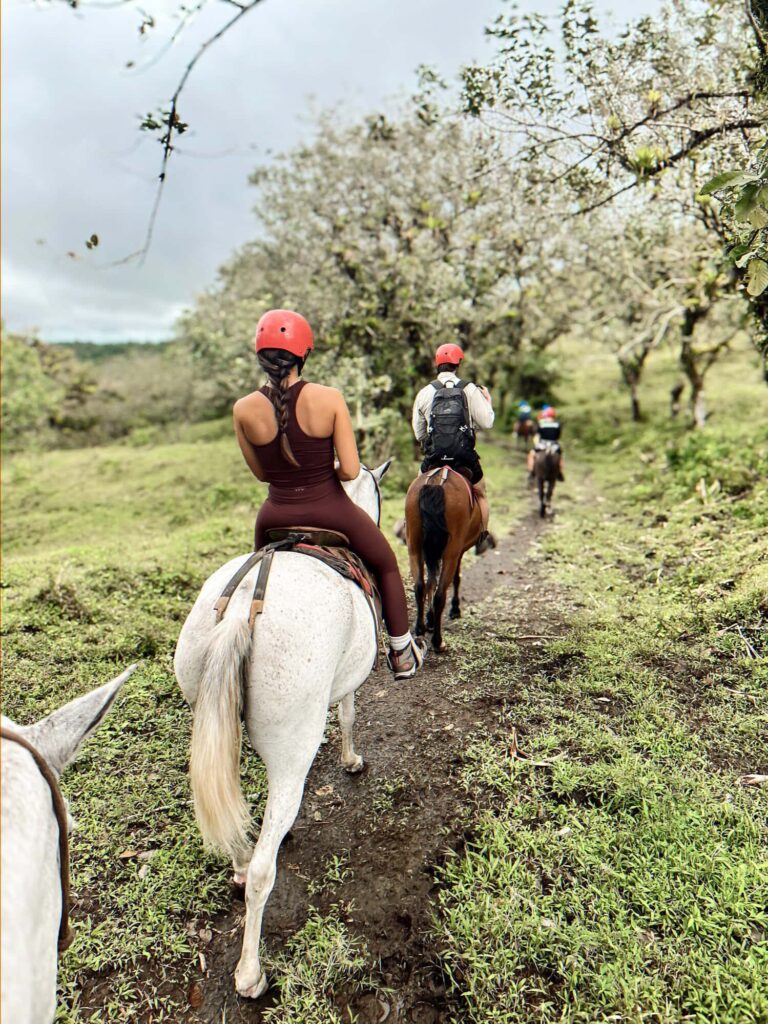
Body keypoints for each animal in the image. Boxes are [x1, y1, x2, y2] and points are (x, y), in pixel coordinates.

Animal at [175, 462, 391, 991]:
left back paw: (236, 861)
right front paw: (351, 761)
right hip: (292, 755)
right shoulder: (350, 680)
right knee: (261, 872)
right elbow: (348, 714)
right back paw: (250, 972)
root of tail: (238, 613)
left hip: (212, 721)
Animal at [405, 468, 483, 651]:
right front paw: (455, 609)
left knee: (420, 586)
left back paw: (420, 628)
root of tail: (436, 483)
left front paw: (429, 619)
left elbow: (430, 581)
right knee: (441, 593)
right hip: (451, 551)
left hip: (415, 546)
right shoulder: (459, 550)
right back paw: (438, 641)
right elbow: (456, 578)